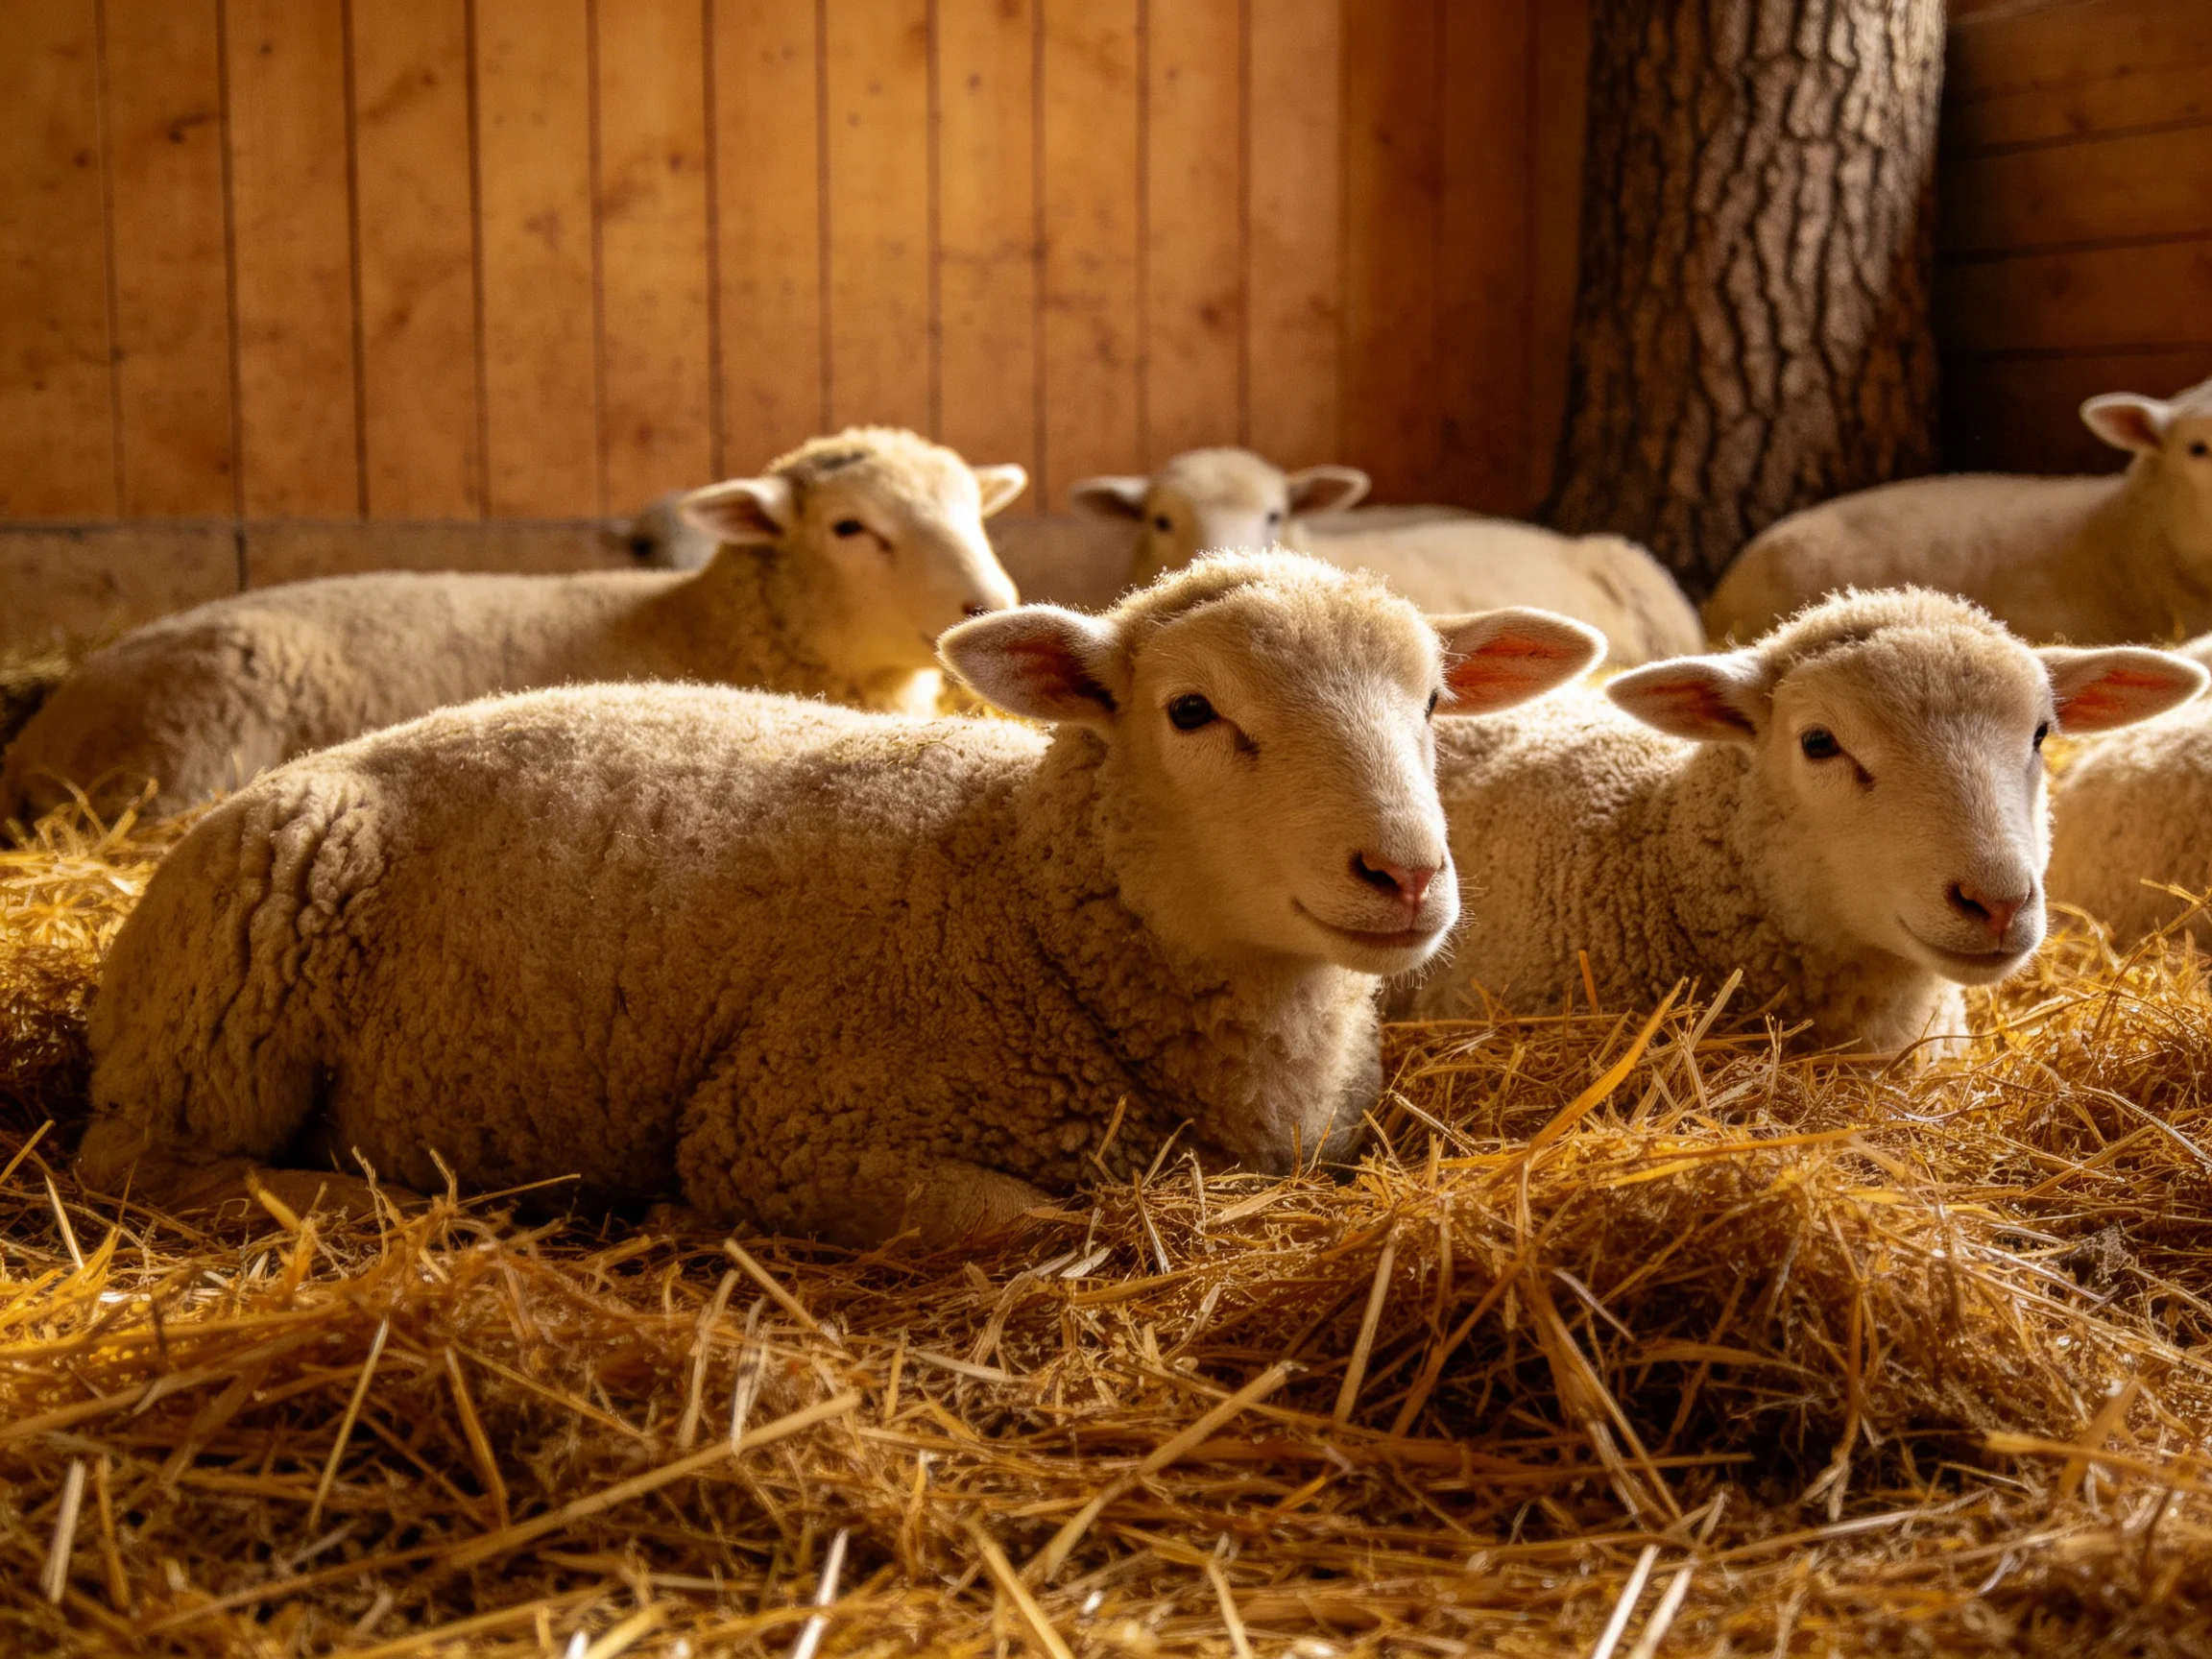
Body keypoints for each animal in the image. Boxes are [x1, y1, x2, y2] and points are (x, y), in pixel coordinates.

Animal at [1, 427, 1026, 823]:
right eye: (852, 528)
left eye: (972, 509)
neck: (705, 623)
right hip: (183, 755)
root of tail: (46, 729)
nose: (989, 602)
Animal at [74, 552, 1606, 1246]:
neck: (1019, 892)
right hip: (223, 1027)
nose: (1406, 876)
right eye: (1190, 711)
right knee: (143, 1167)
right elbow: (1067, 1226)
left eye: (1432, 703)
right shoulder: (787, 1132)